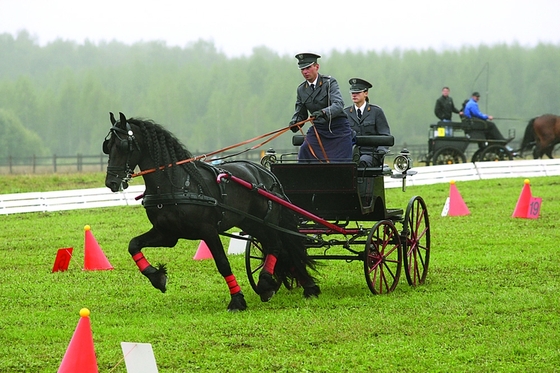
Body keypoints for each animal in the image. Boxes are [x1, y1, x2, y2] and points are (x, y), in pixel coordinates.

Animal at [101, 112, 320, 310]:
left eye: (123, 146)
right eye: (107, 147)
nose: (111, 183)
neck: (177, 184)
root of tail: (266, 173)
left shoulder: (208, 231)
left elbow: (223, 263)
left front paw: (237, 300)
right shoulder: (167, 234)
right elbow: (133, 245)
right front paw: (157, 278)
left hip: (266, 221)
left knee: (277, 246)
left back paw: (270, 283)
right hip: (251, 223)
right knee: (282, 249)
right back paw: (301, 286)